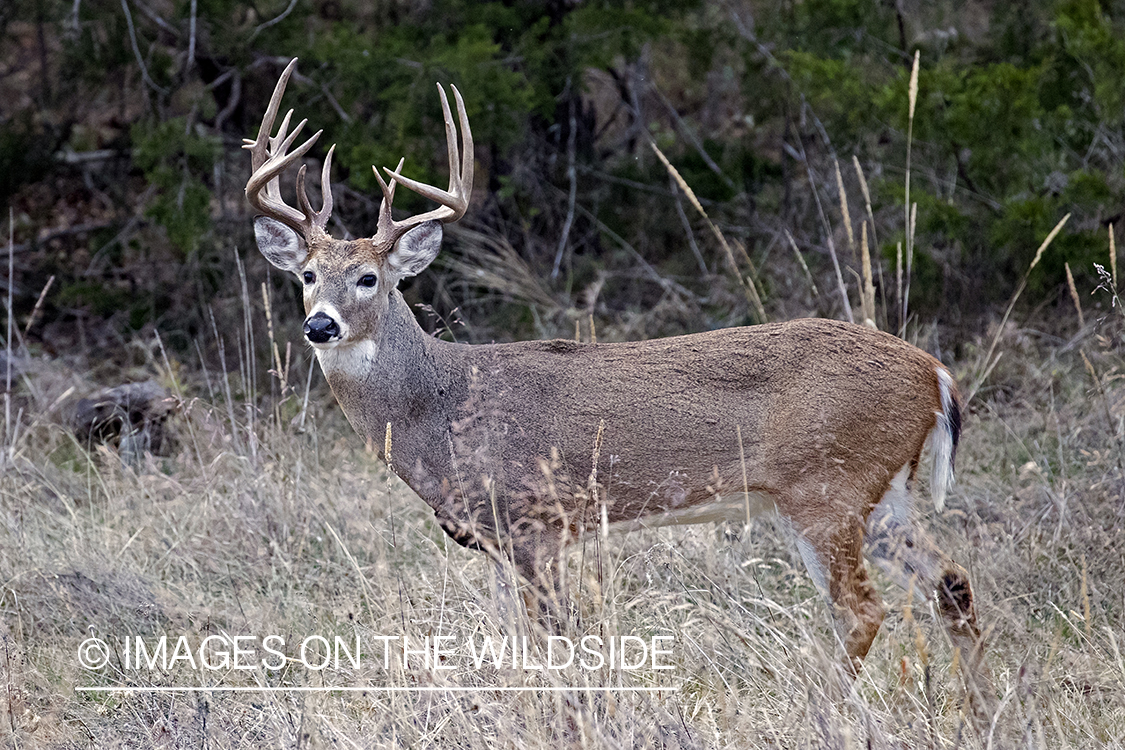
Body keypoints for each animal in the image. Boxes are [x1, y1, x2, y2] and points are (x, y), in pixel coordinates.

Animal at [244, 58, 994, 715]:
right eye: (306, 275)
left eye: (370, 278)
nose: (318, 324)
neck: (442, 407)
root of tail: (934, 374)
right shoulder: (495, 542)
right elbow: (515, 646)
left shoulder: (535, 522)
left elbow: (559, 642)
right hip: (882, 495)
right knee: (953, 584)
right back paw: (977, 711)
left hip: (825, 488)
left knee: (863, 610)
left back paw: (823, 709)